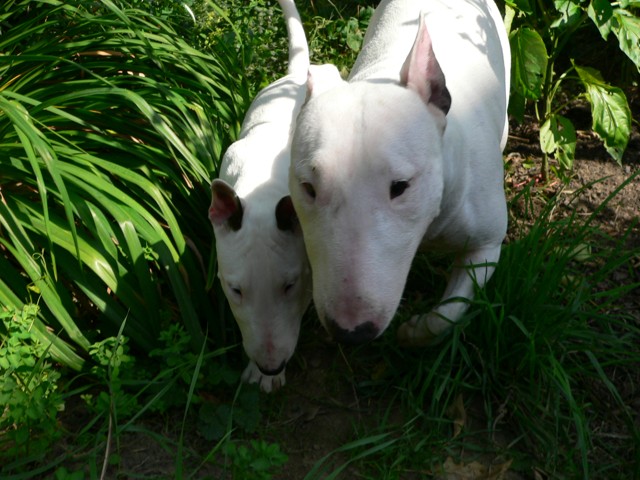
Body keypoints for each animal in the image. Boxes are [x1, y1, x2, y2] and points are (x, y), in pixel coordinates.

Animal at [289, 0, 510, 346]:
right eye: (308, 188)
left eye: (401, 186)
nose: (351, 332)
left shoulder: (487, 242)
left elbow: (449, 312)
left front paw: (414, 331)